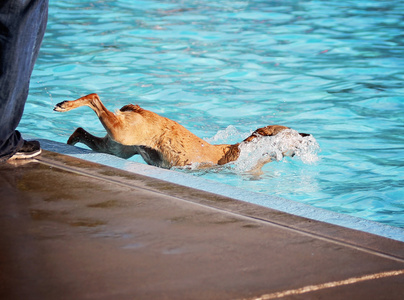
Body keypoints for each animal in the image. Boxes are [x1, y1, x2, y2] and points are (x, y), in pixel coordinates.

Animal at [52, 94, 308, 169]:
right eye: (293, 134)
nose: (307, 135)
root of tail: (137, 108)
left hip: (116, 145)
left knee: (81, 130)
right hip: (121, 132)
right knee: (94, 98)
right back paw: (67, 105)